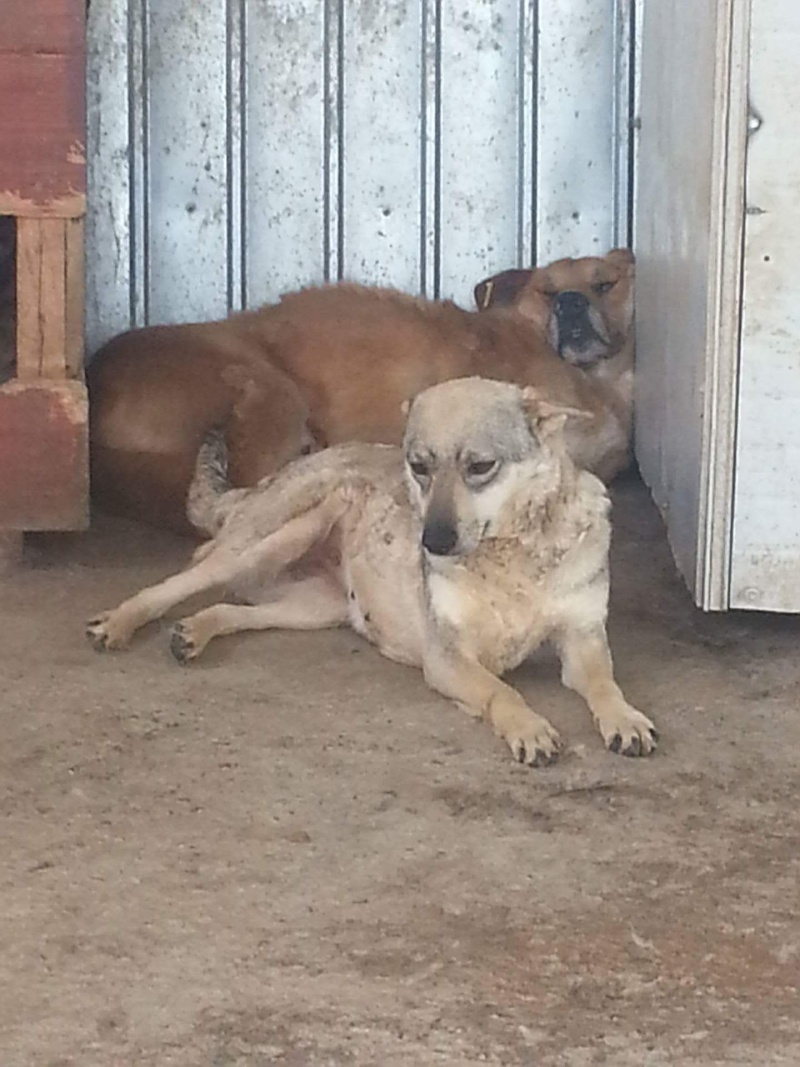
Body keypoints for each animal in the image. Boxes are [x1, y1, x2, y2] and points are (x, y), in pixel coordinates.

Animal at [87, 379, 657, 763]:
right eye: (419, 466)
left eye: (480, 467)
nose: (430, 543)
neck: (513, 556)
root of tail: (274, 474)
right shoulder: (449, 658)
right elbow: (503, 692)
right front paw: (530, 728)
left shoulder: (582, 640)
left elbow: (605, 684)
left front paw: (625, 720)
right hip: (272, 538)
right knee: (188, 574)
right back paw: (119, 622)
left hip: (314, 609)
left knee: (231, 607)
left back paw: (194, 633)